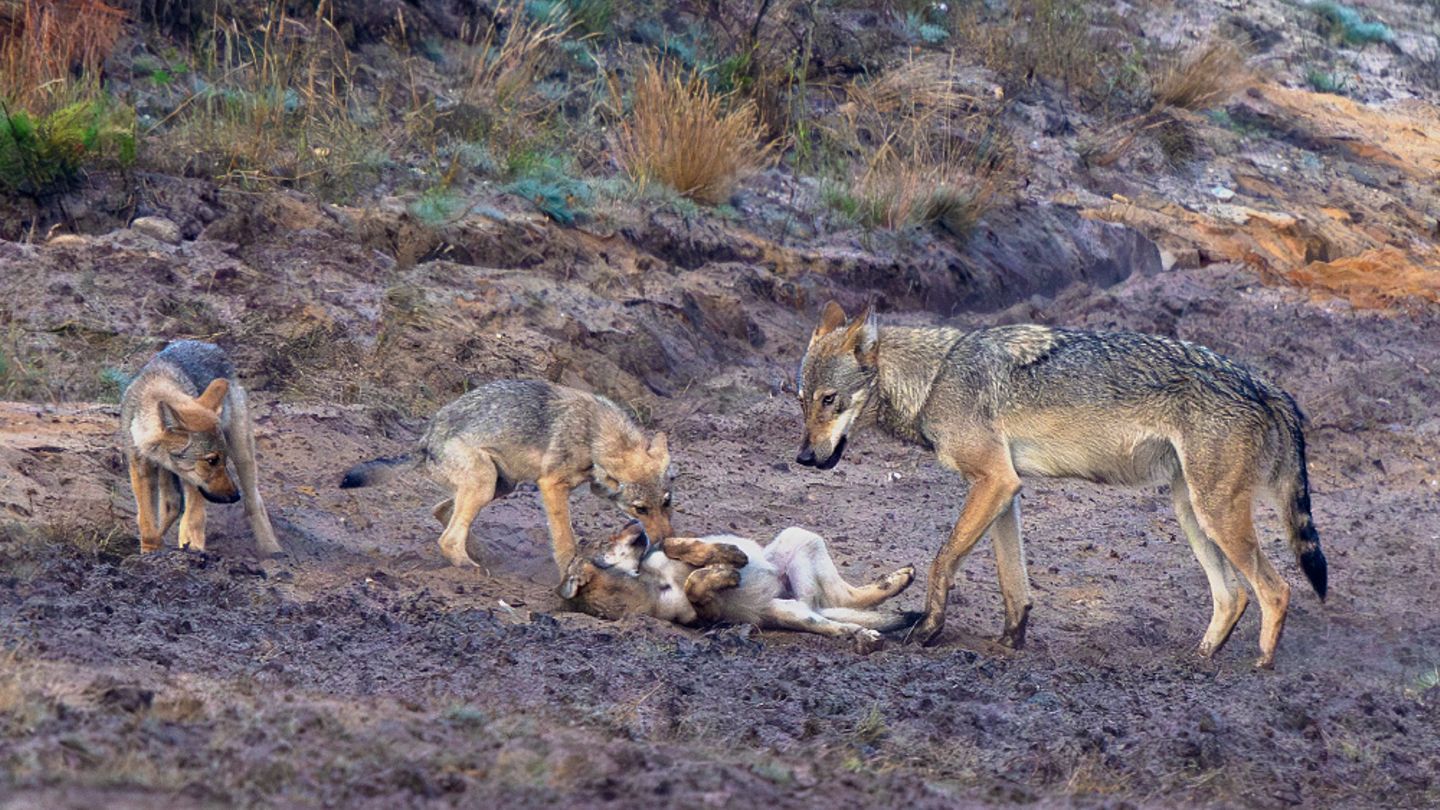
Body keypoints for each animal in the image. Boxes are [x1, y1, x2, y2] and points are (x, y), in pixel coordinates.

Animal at [120, 341, 283, 556]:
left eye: (222, 459)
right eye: (212, 460)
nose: (234, 496)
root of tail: (209, 344)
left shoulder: (193, 481)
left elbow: (193, 517)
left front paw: (192, 547)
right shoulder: (141, 469)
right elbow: (146, 520)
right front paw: (150, 550)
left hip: (243, 456)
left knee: (253, 501)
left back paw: (271, 549)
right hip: (166, 475)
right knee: (171, 504)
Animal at [340, 379, 673, 571]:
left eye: (667, 503)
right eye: (640, 509)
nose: (666, 543)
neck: (594, 433)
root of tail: (424, 441)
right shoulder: (551, 485)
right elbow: (565, 539)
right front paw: (570, 569)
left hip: (500, 485)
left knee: (441, 511)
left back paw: (479, 553)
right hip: (485, 483)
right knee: (447, 537)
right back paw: (466, 564)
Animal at [558, 523, 918, 651]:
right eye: (607, 541)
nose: (636, 522)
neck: (646, 581)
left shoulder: (669, 546)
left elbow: (683, 546)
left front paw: (729, 557)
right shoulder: (705, 616)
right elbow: (695, 586)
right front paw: (725, 572)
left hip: (800, 538)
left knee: (849, 597)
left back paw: (900, 578)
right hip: (794, 611)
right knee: (839, 617)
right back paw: (865, 635)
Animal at [793, 300, 1327, 668]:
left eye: (829, 400)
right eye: (800, 399)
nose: (803, 457)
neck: (935, 378)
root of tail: (1266, 385)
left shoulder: (993, 482)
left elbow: (942, 560)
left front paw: (928, 631)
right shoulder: (1005, 490)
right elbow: (1014, 585)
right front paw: (1009, 642)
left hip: (1214, 515)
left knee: (1276, 589)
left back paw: (1261, 664)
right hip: (1192, 513)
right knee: (1233, 596)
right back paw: (1199, 659)